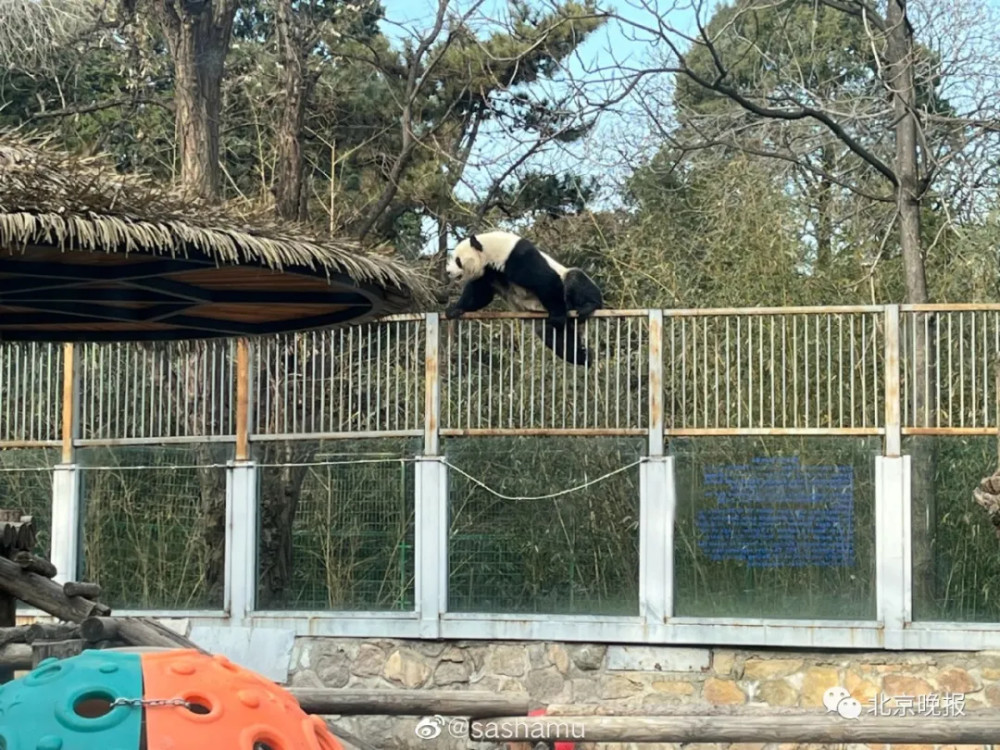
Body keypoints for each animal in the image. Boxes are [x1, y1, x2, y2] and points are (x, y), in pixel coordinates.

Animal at [444, 232, 600, 368]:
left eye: (457, 260)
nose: (448, 272)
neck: (489, 250)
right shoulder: (487, 272)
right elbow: (479, 294)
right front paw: (454, 309)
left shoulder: (517, 257)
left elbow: (545, 280)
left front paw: (558, 316)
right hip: (544, 323)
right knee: (558, 339)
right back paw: (583, 357)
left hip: (566, 291)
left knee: (575, 279)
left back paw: (588, 306)